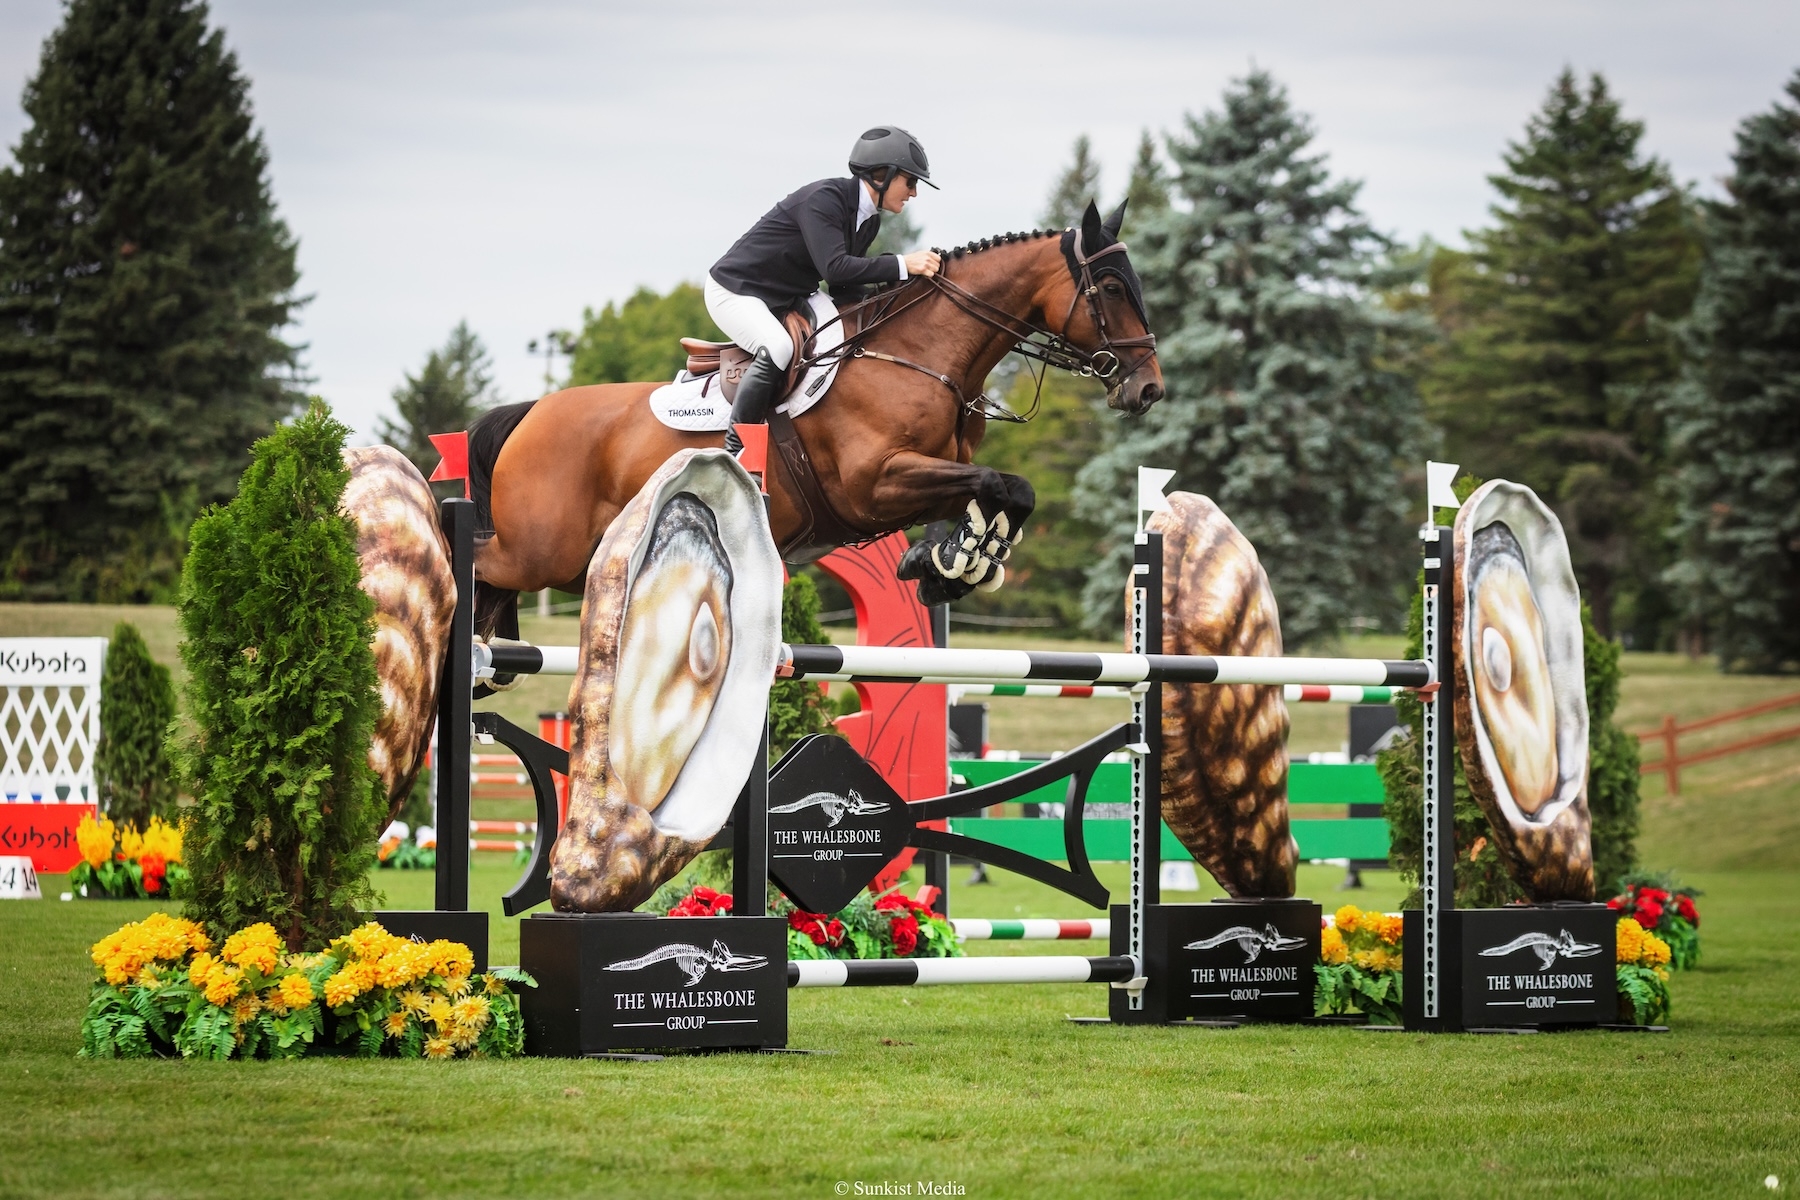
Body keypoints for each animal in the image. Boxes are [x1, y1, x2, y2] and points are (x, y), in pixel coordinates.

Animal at [466, 199, 1164, 638]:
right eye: (1110, 287)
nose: (1149, 389)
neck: (921, 356)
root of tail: (530, 414)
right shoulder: (874, 484)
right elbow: (997, 484)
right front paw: (956, 562)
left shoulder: (932, 477)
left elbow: (1007, 491)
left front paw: (949, 565)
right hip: (541, 550)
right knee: (478, 561)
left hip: (576, 555)